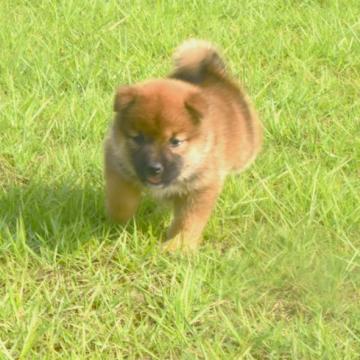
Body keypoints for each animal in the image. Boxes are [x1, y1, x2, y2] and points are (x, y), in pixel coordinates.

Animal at [104, 39, 262, 252]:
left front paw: (178, 246)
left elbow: (188, 221)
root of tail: (213, 72)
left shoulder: (201, 187)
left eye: (175, 142)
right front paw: (120, 224)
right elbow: (121, 201)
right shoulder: (117, 165)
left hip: (246, 148)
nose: (154, 168)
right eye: (139, 138)